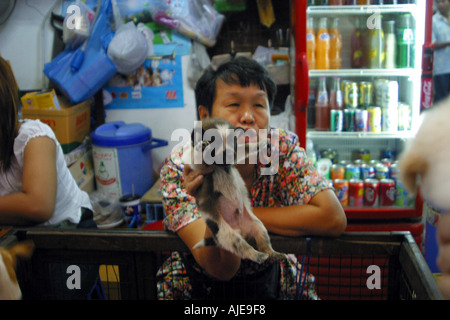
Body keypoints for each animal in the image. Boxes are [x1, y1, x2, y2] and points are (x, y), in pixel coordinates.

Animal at [182, 119, 284, 264]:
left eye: (232, 143)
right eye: (214, 144)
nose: (227, 153)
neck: (220, 167)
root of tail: (241, 230)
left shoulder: (236, 153)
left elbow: (246, 147)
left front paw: (262, 142)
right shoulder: (198, 167)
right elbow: (197, 157)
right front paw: (201, 147)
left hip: (258, 226)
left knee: (263, 242)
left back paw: (272, 253)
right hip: (226, 234)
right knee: (242, 247)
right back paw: (256, 255)